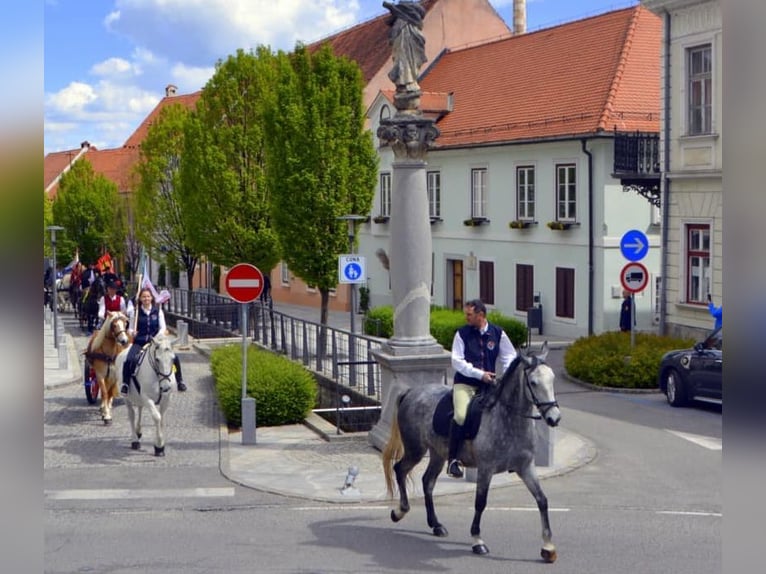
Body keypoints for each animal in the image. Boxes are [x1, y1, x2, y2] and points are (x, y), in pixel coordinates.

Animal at [384, 344, 564, 560]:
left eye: (552, 379)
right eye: (534, 382)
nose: (554, 418)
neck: (507, 418)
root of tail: (411, 392)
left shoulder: (526, 467)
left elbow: (542, 500)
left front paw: (548, 547)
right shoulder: (486, 469)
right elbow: (480, 502)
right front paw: (478, 541)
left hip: (438, 453)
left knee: (427, 481)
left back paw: (436, 525)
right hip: (415, 450)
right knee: (400, 469)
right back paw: (400, 511)